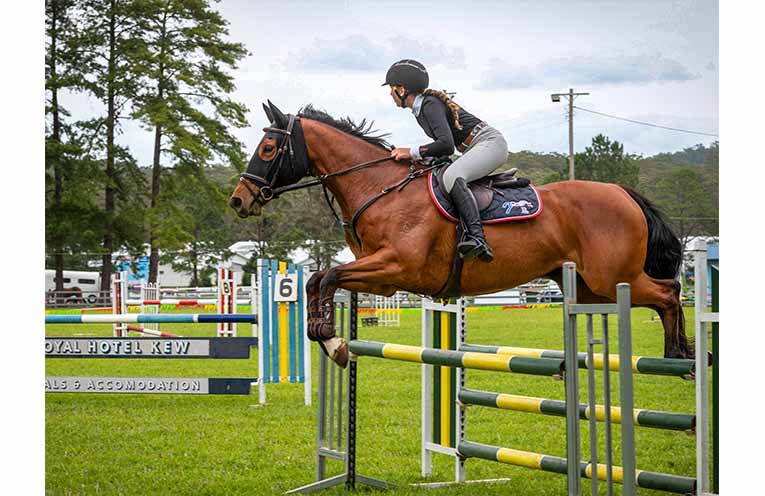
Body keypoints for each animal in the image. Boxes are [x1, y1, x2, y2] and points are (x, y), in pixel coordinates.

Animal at [229, 101, 690, 368]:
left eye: (268, 149)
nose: (239, 199)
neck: (379, 187)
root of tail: (623, 193)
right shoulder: (381, 276)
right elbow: (316, 279)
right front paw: (328, 339)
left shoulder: (396, 267)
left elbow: (327, 277)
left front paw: (332, 340)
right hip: (590, 288)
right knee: (666, 292)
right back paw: (681, 353)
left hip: (611, 279)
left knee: (669, 291)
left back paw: (681, 354)